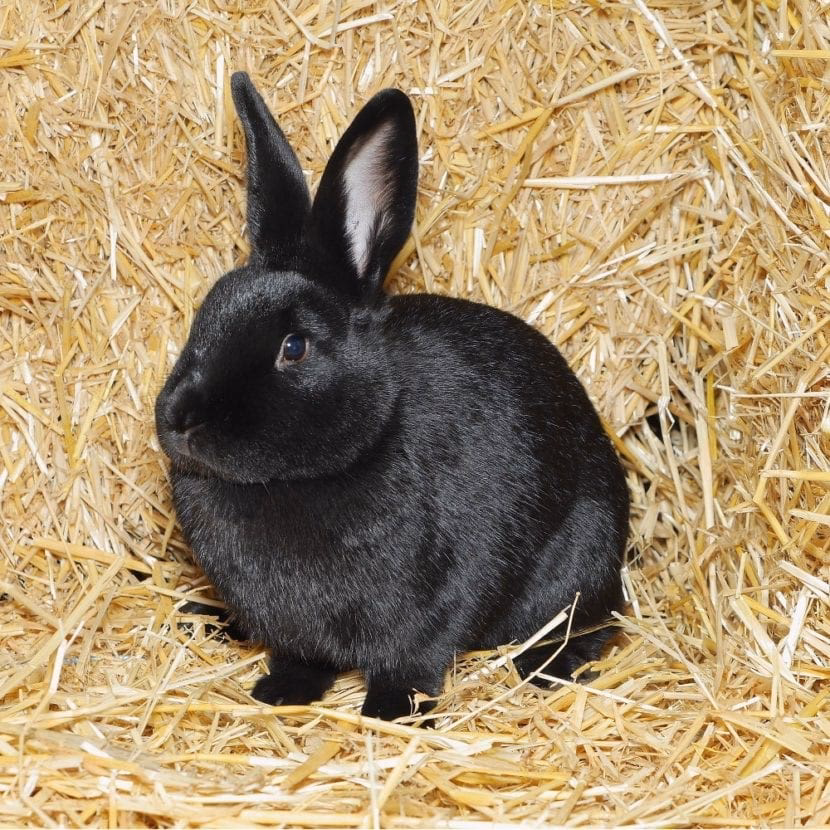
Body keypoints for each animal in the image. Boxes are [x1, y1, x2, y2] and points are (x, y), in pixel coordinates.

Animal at [155, 72, 629, 722]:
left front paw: (387, 712)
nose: (179, 420)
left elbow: (411, 664)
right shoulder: (298, 635)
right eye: (204, 314)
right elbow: (303, 659)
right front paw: (279, 692)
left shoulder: (437, 604)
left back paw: (546, 670)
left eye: (294, 347)